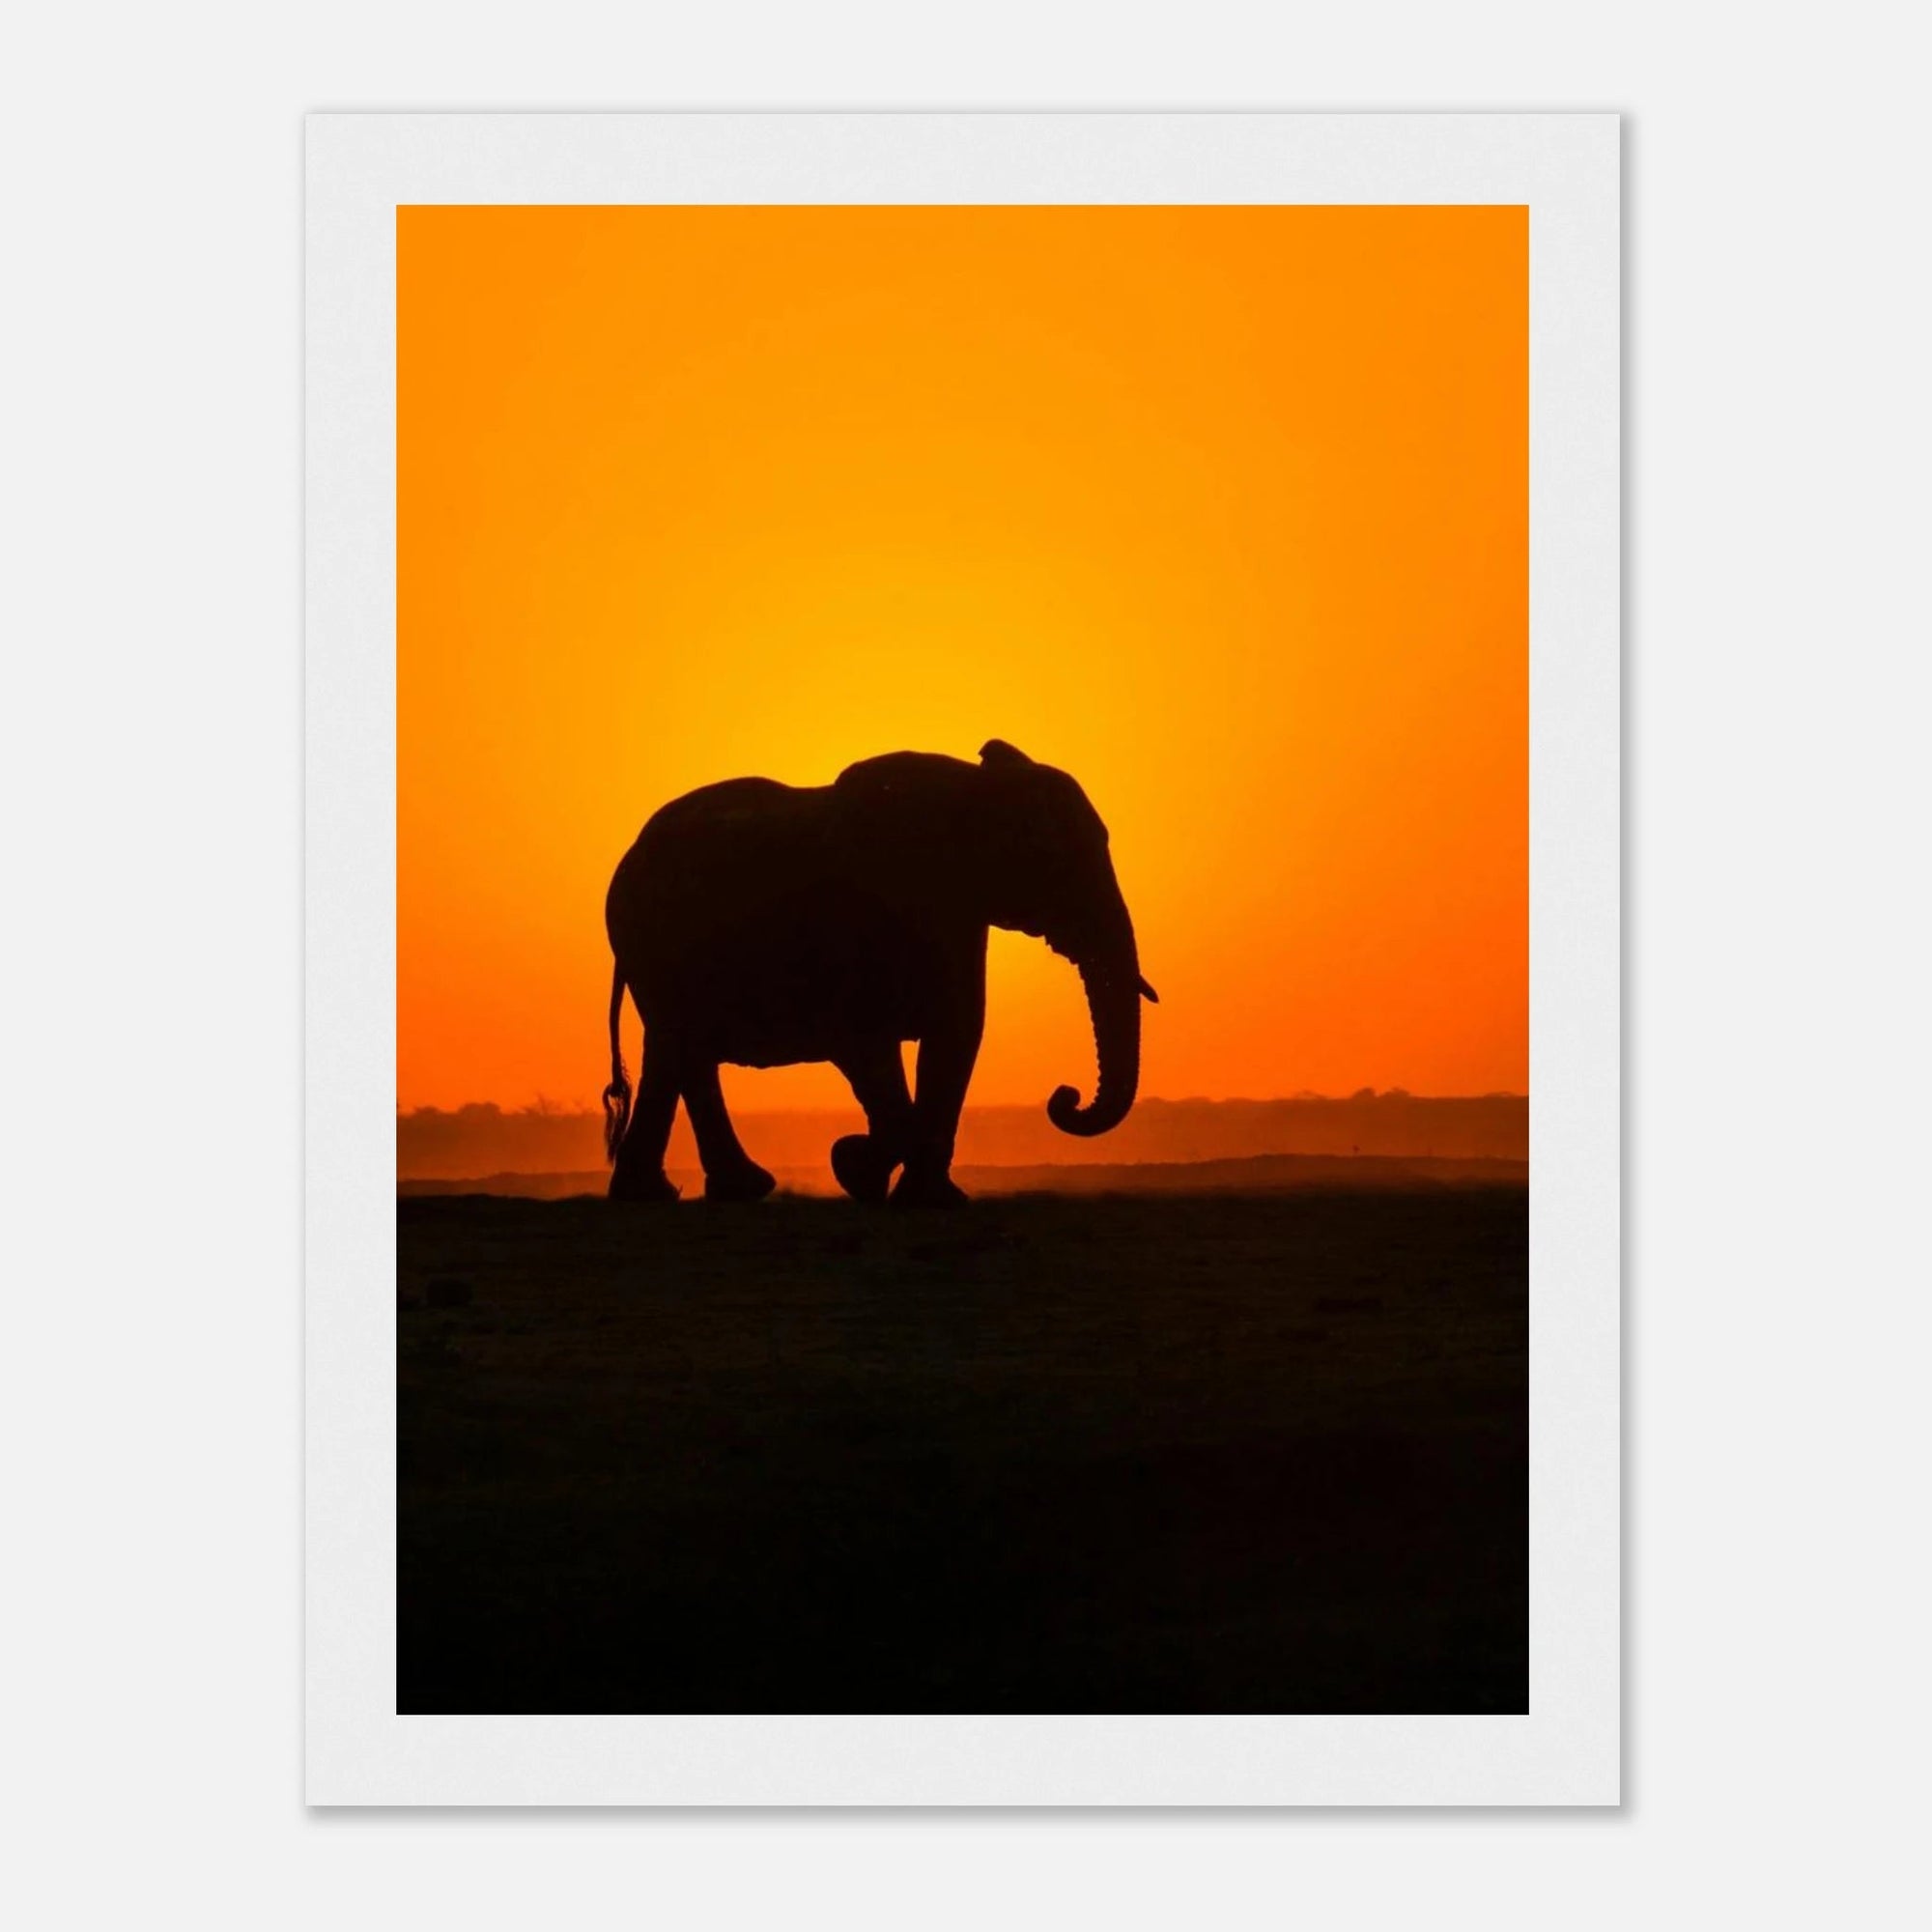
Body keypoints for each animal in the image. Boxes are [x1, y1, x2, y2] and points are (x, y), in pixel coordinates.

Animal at [599, 739, 1156, 1205]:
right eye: (1057, 861)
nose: (1065, 1096)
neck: (976, 790)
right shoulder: (865, 916)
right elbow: (865, 1041)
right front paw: (855, 1167)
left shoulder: (959, 914)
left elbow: (956, 1035)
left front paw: (927, 1198)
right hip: (650, 942)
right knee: (681, 1047)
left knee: (676, 1052)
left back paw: (690, 1192)